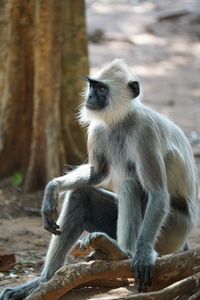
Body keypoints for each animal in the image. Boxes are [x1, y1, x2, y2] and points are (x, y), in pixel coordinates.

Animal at [0, 58, 198, 298]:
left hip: (172, 230)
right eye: (92, 86)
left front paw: (142, 255)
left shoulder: (145, 132)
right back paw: (43, 282)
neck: (121, 120)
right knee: (80, 194)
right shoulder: (97, 130)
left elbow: (157, 193)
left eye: (102, 89)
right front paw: (52, 189)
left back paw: (123, 252)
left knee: (131, 186)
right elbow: (97, 174)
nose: (90, 97)